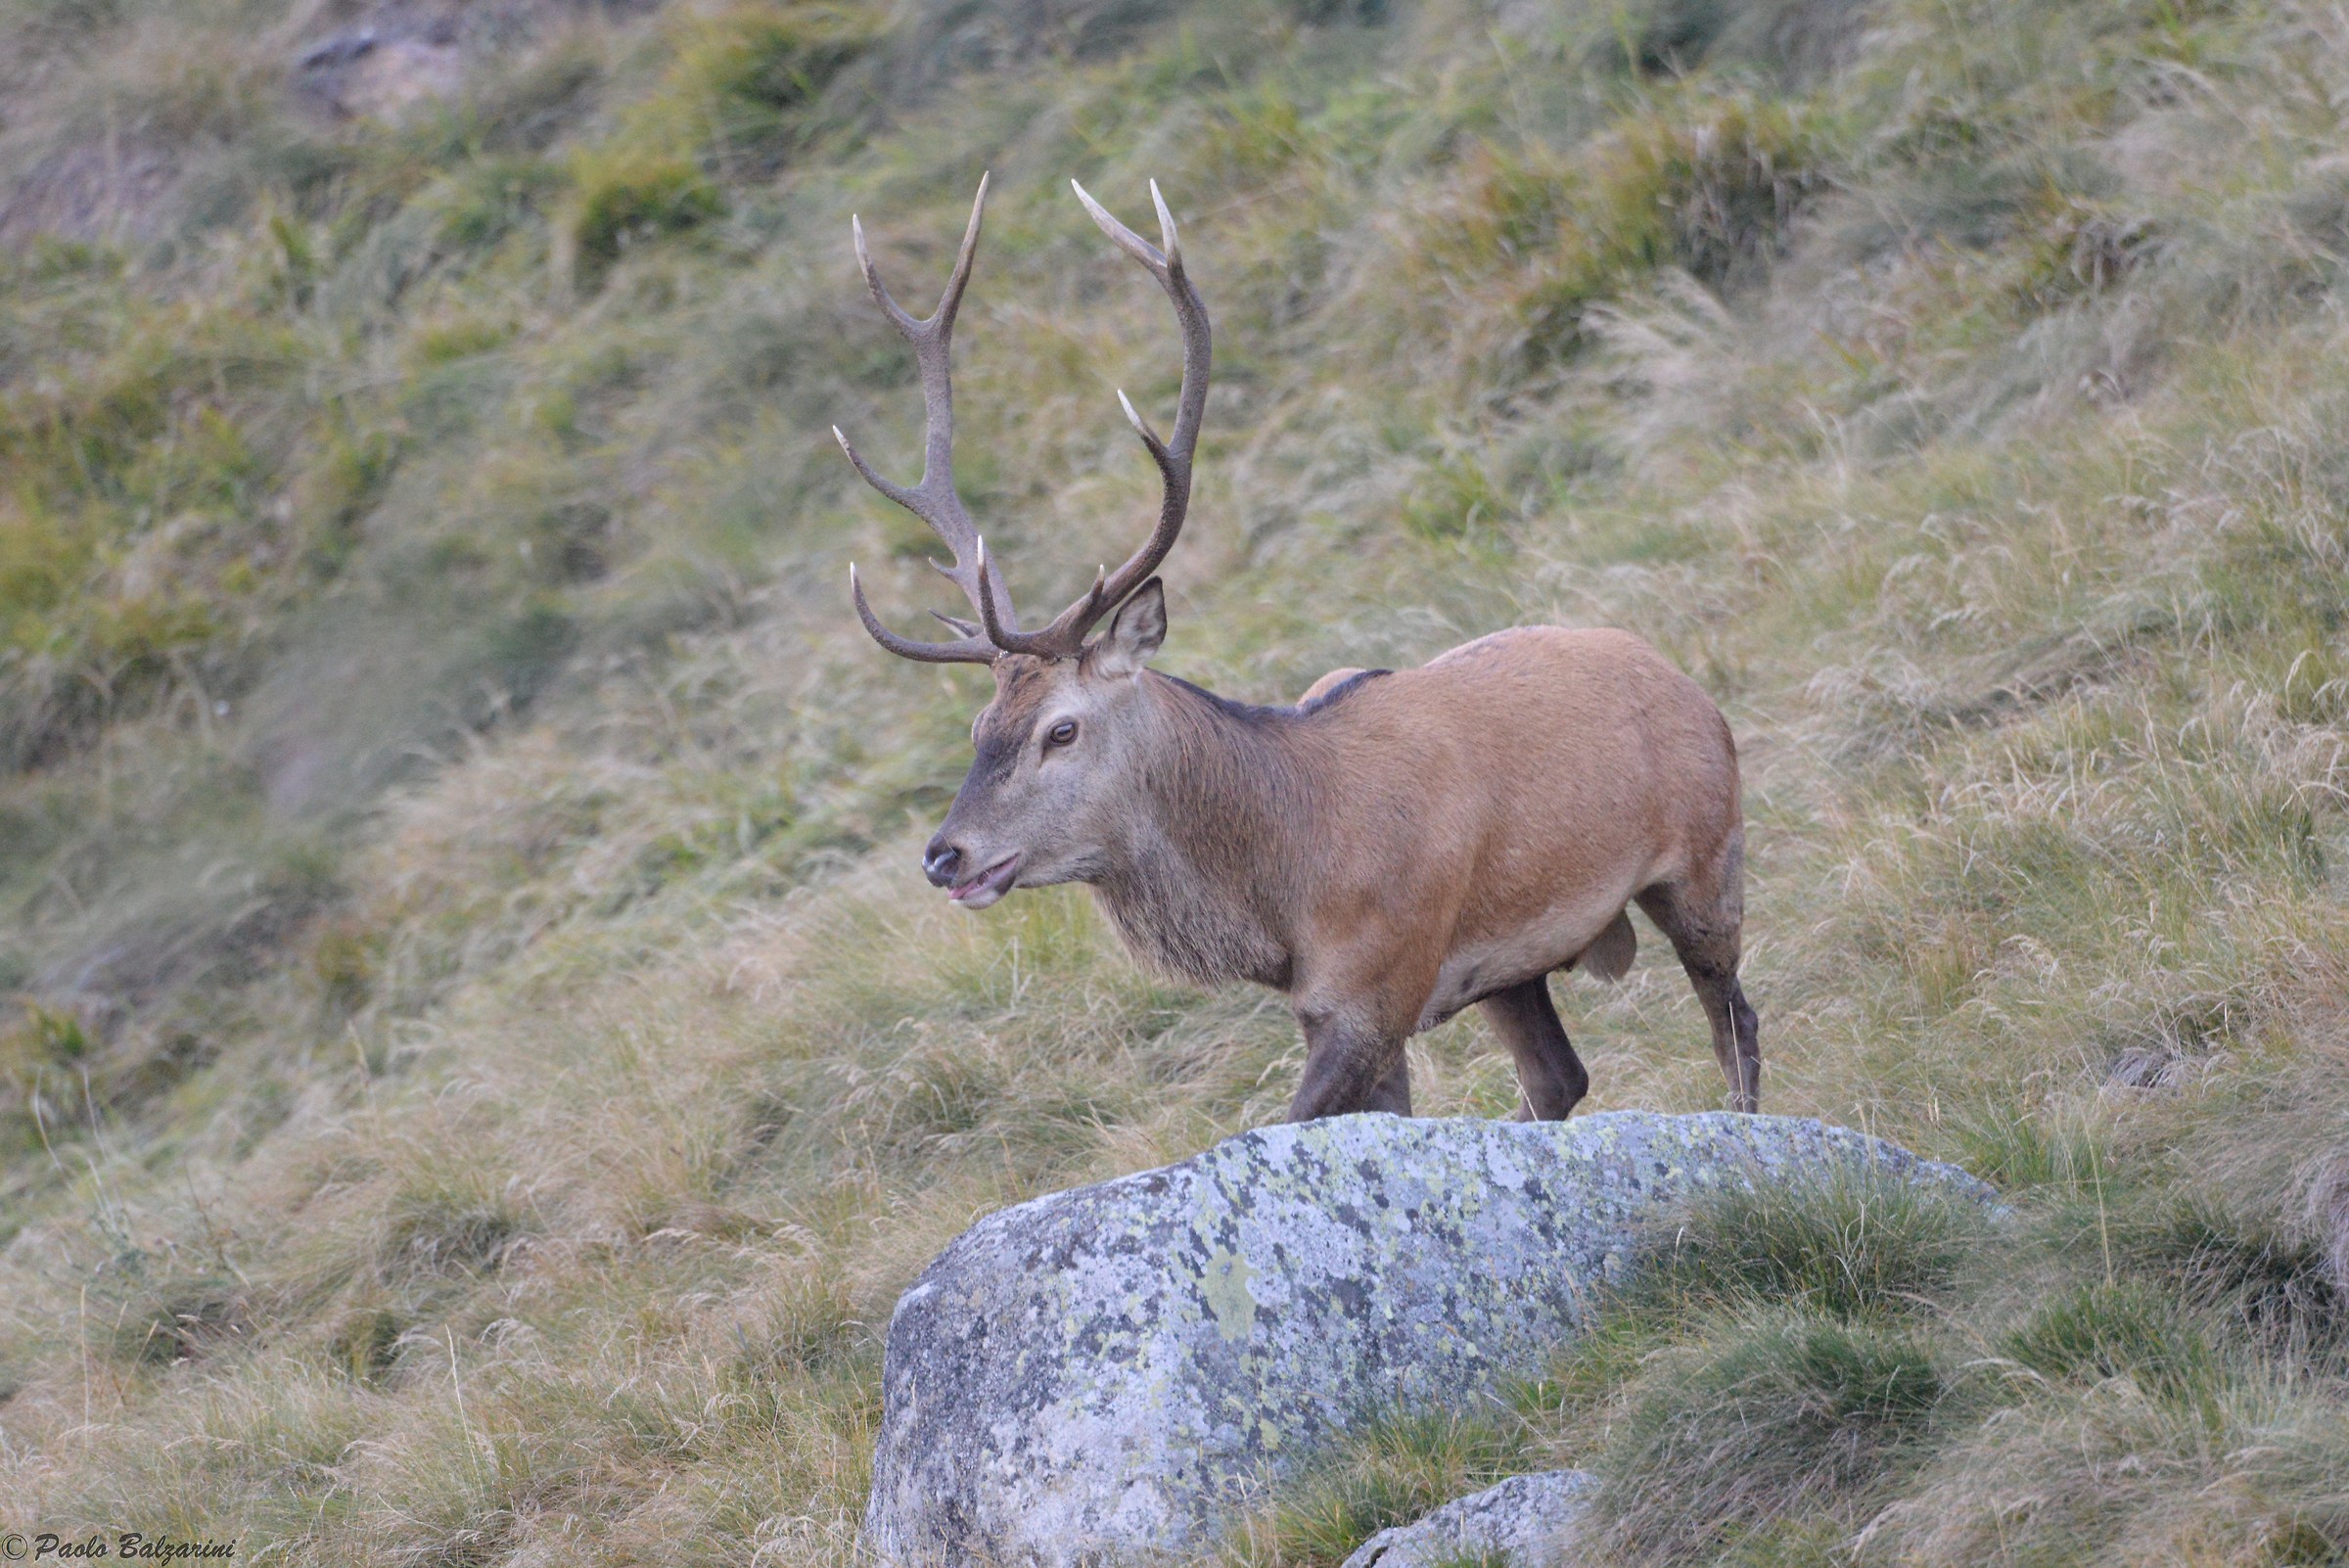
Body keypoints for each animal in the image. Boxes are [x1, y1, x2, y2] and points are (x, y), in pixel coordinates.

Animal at [833, 176, 1758, 1121]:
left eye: (1061, 729)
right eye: (979, 726)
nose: (945, 855)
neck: (1288, 891)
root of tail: (1683, 679)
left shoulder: (1377, 983)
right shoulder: (1340, 1005)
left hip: (1706, 855)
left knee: (1734, 1020)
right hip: (1509, 968)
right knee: (1559, 1074)